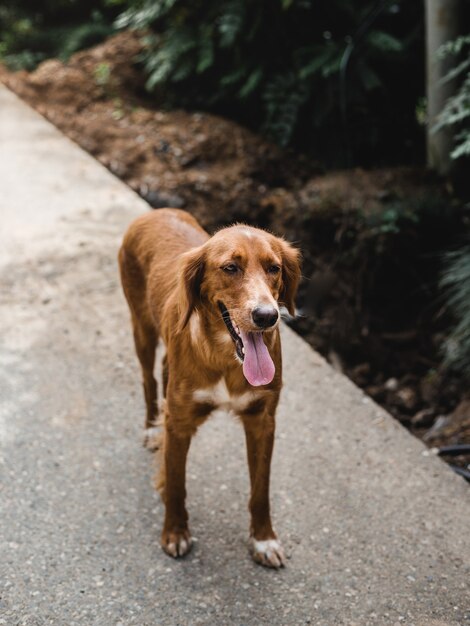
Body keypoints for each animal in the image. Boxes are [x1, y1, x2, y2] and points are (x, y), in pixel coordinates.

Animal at [118, 208, 302, 564]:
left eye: (274, 268)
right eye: (230, 267)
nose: (267, 316)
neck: (226, 357)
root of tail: (155, 211)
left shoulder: (263, 420)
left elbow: (261, 489)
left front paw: (263, 539)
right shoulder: (179, 423)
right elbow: (177, 483)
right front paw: (175, 532)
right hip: (141, 327)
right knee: (148, 377)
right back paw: (151, 429)